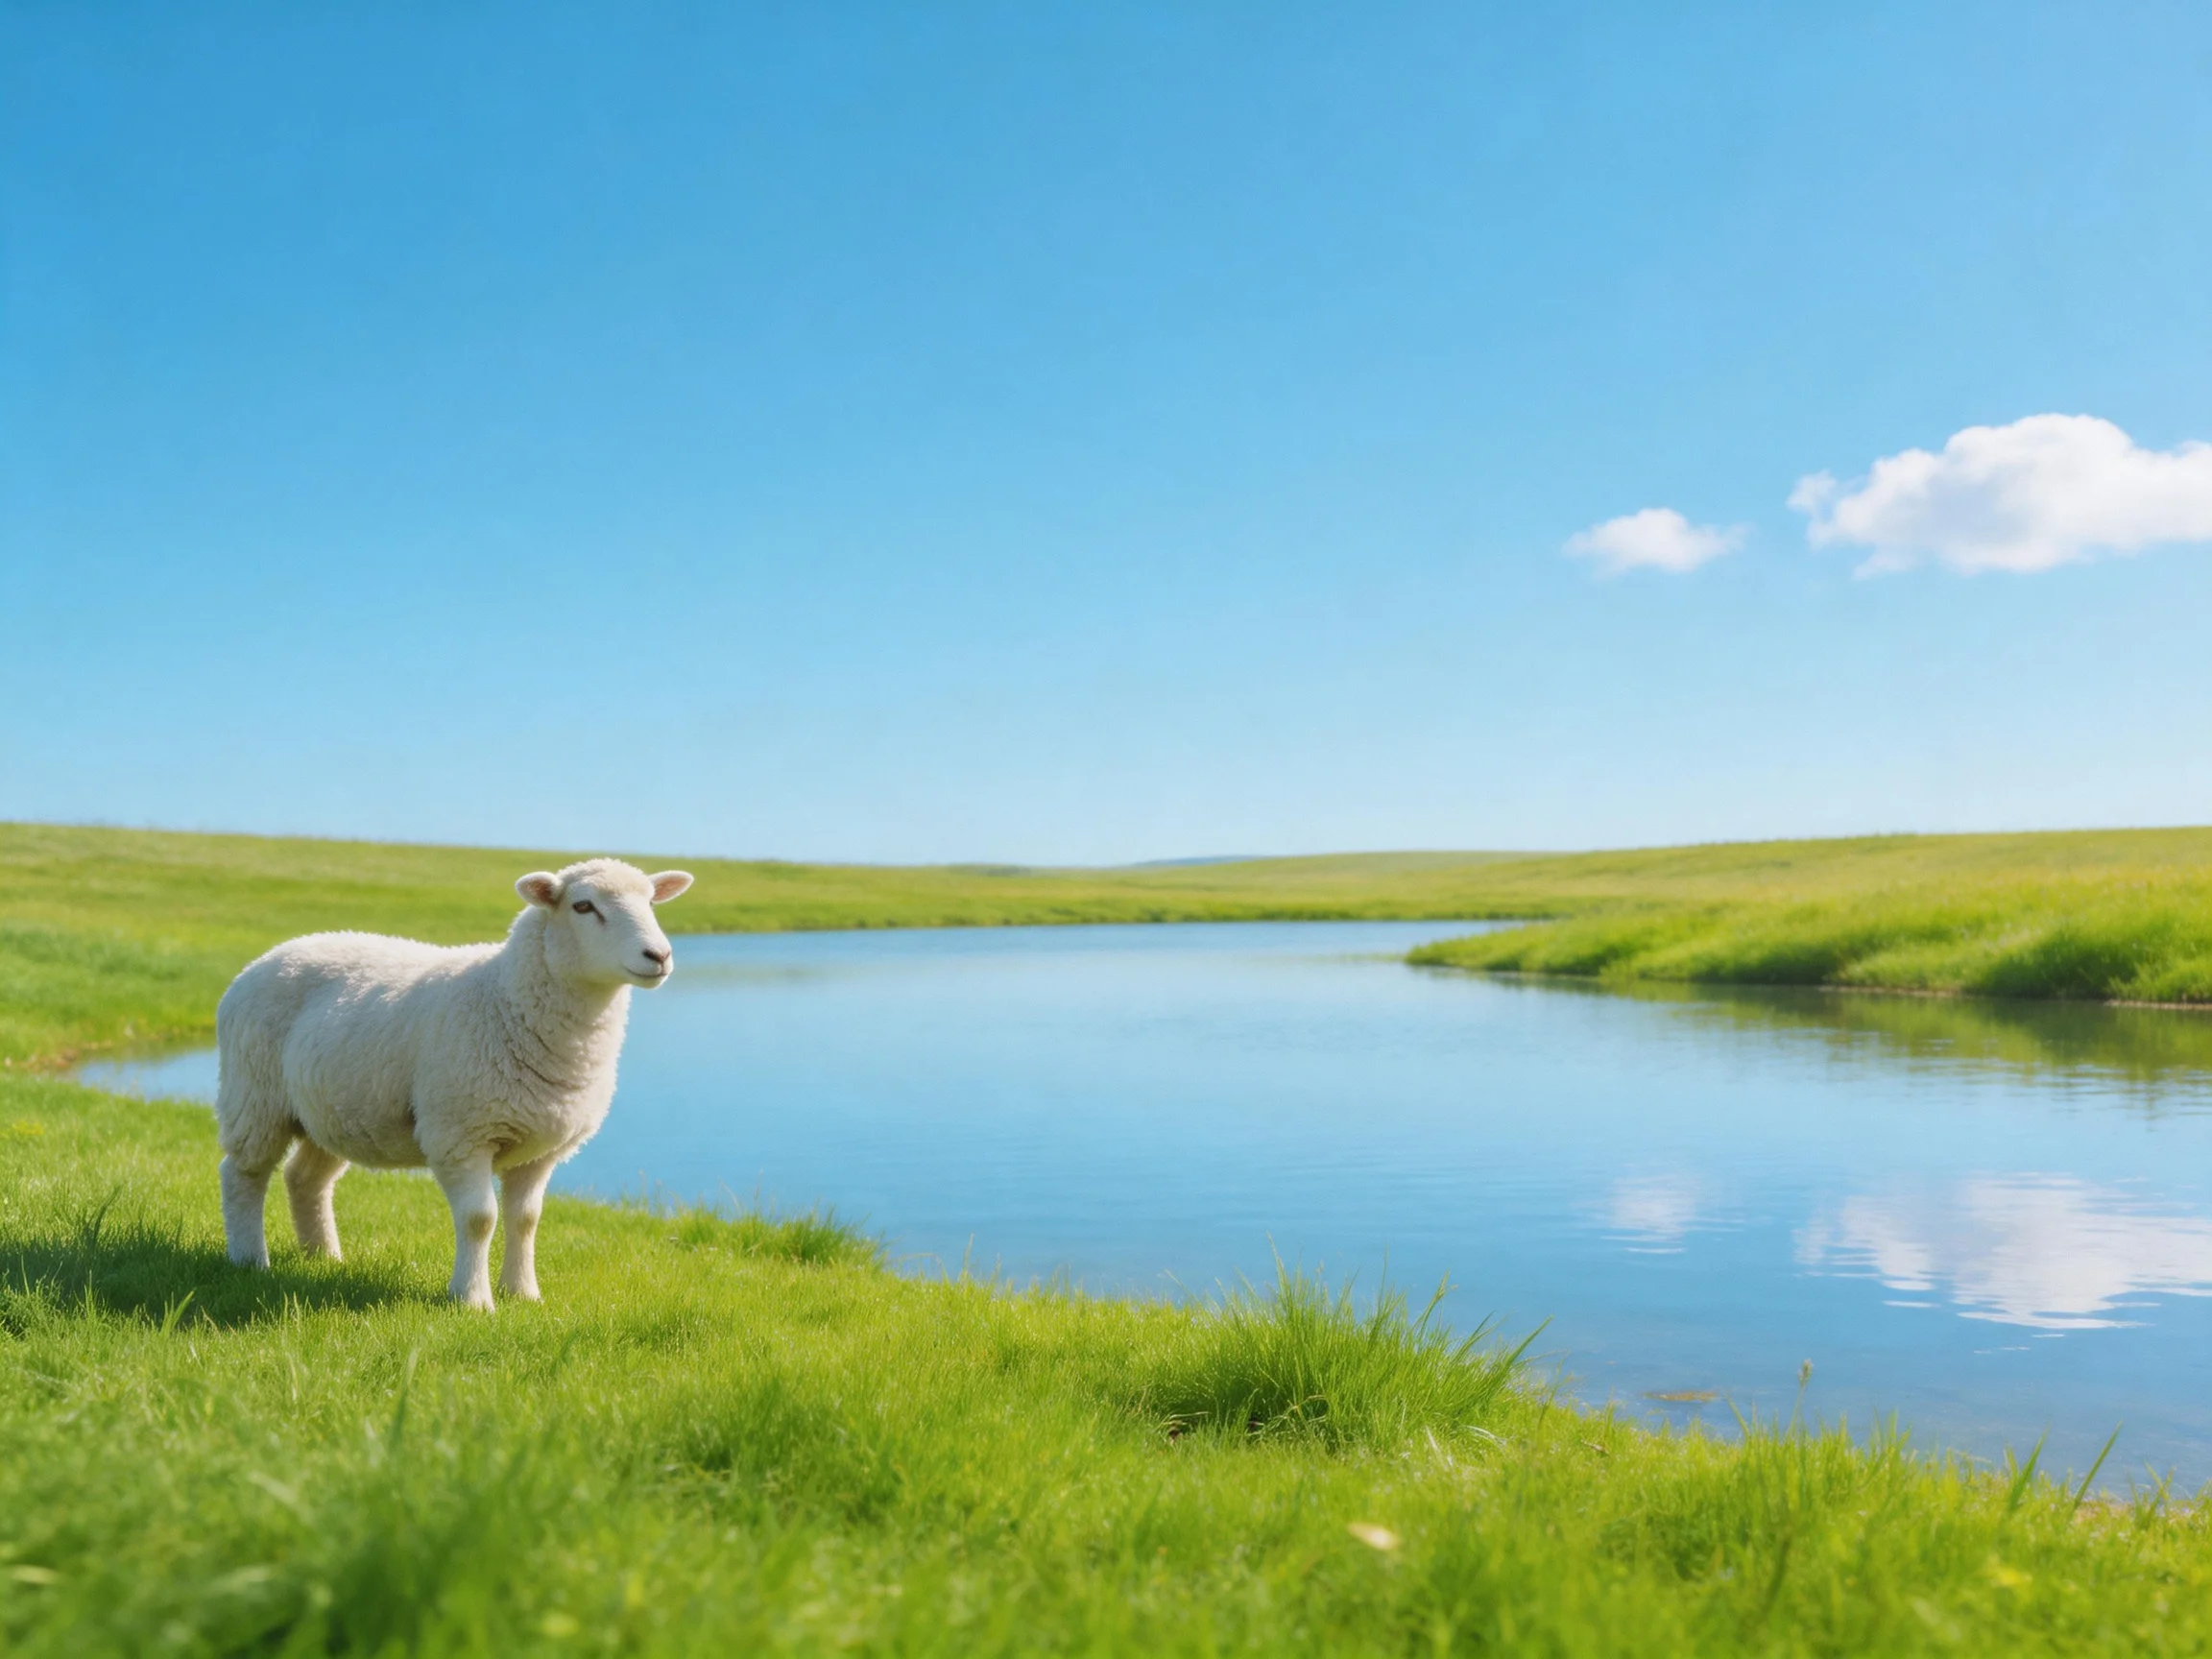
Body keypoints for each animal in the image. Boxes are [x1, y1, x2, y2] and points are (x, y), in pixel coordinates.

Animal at [213, 858, 693, 1308]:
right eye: (583, 906)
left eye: (651, 903)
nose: (659, 956)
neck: (505, 998)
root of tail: (273, 954)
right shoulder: (461, 1134)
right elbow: (480, 1219)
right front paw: (473, 1299)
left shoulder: (540, 1148)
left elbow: (527, 1219)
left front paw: (523, 1293)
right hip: (254, 1095)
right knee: (243, 1174)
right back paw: (250, 1259)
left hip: (332, 1110)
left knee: (305, 1179)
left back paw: (324, 1257)